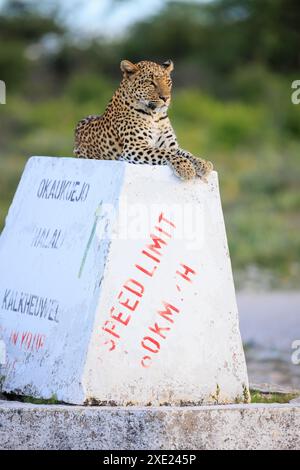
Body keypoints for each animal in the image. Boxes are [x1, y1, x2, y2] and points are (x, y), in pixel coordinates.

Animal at [73, 58, 213, 182]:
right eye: (151, 83)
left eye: (168, 82)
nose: (166, 98)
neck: (155, 116)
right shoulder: (134, 147)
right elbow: (166, 153)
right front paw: (186, 168)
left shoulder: (170, 145)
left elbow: (186, 153)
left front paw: (202, 163)